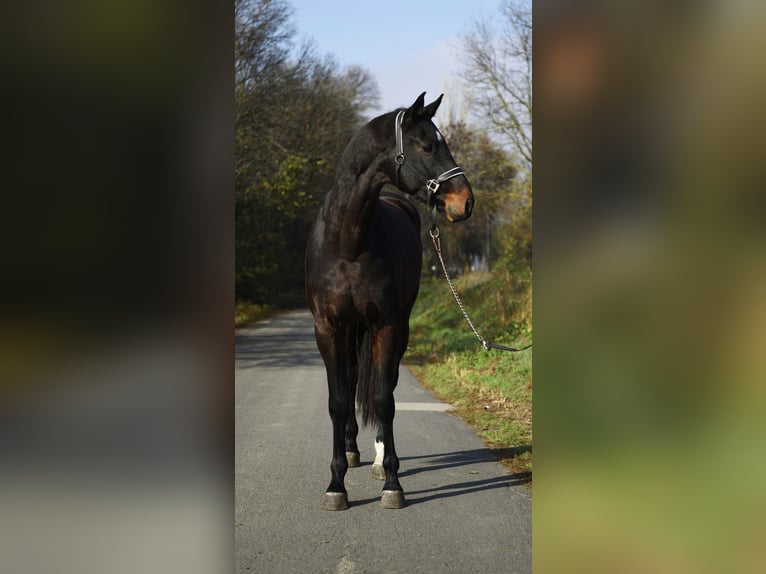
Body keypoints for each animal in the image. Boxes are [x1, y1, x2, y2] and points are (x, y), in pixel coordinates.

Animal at [305, 92, 474, 510]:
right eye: (427, 146)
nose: (466, 201)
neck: (348, 243)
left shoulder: (387, 325)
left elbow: (383, 398)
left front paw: (392, 483)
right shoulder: (328, 328)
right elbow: (338, 400)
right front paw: (336, 484)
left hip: (396, 328)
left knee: (385, 383)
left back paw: (380, 460)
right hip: (351, 329)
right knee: (351, 384)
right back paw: (351, 451)